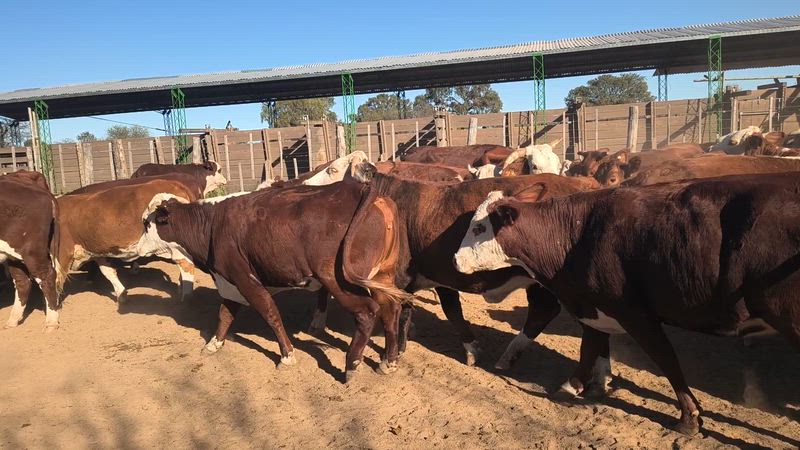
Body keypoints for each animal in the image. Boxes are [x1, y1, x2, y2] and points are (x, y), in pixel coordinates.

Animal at [1, 171, 64, 330]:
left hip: (31, 250)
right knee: (22, 281)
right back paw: (13, 320)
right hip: (13, 254)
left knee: (46, 276)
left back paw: (51, 322)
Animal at [147, 176, 412, 380]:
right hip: (382, 276)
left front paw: (287, 356)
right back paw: (388, 362)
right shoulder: (231, 283)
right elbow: (225, 315)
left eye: (148, 223)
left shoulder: (244, 279)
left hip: (337, 280)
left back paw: (351, 365)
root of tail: (360, 190)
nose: (136, 247)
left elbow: (270, 314)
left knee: (367, 313)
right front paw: (213, 344)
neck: (212, 223)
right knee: (391, 309)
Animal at [454, 173, 800, 435]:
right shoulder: (594, 306)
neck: (574, 233)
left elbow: (666, 360)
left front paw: (689, 418)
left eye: (479, 227)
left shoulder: (635, 314)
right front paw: (576, 385)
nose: (455, 260)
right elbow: (591, 346)